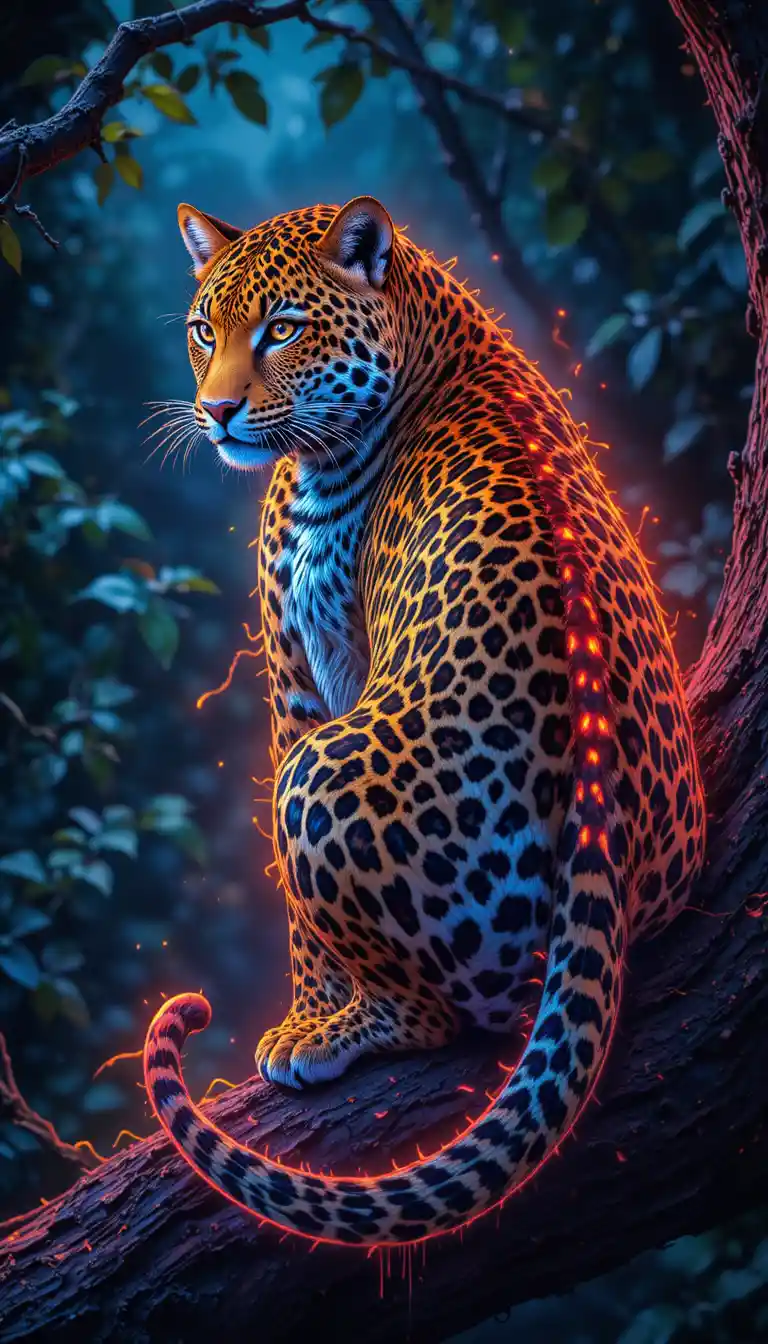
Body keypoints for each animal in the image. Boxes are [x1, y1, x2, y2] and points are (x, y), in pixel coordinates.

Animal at [144, 195, 706, 1248]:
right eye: (204, 329)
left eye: (281, 329)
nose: (218, 411)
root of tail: (601, 841)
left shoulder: (303, 679)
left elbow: (299, 924)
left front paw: (304, 1021)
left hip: (324, 776)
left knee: (446, 1016)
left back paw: (353, 1030)